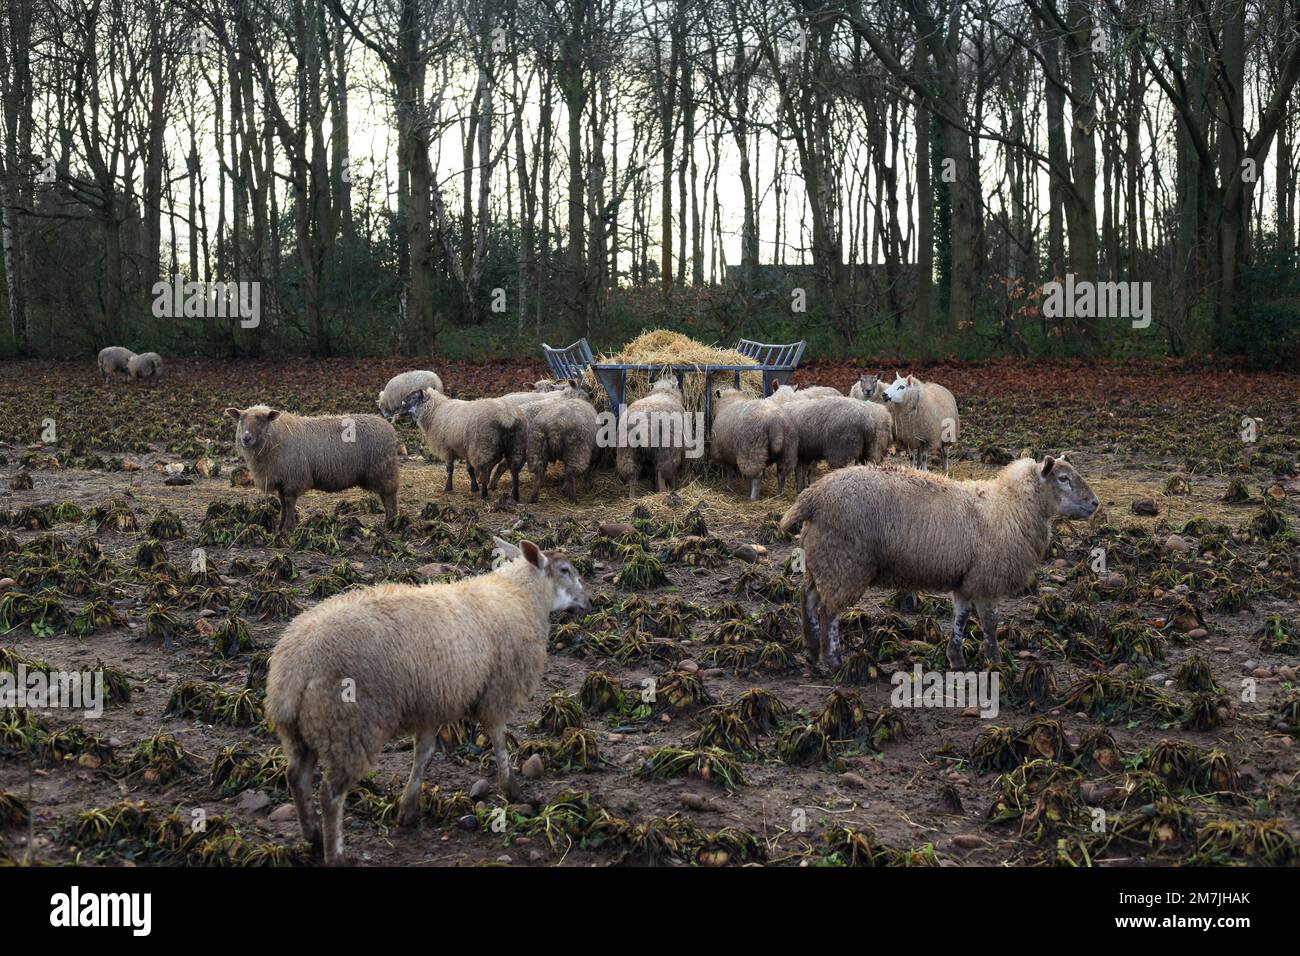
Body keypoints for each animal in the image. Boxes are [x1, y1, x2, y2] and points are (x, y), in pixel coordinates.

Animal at [224, 405, 400, 542]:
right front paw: (280, 528)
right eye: (241, 419)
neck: (275, 437)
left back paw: (388, 525)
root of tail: (389, 427)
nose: (246, 438)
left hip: (383, 470)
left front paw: (287, 530)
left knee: (389, 496)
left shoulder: (293, 479)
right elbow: (282, 504)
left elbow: (289, 503)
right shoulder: (282, 480)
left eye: (261, 420)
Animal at [265, 535, 590, 864]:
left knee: (296, 777)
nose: (588, 601)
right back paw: (335, 854)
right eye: (565, 570)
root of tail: (298, 662)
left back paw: (313, 836)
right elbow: (498, 739)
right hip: (347, 725)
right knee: (329, 794)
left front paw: (408, 808)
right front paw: (511, 788)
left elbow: (424, 753)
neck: (519, 596)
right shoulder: (497, 691)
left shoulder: (431, 703)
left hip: (302, 729)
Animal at [397, 387, 526, 500]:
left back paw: (484, 494)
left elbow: (449, 468)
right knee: (514, 469)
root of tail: (506, 417)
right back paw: (515, 495)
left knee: (485, 469)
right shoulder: (465, 447)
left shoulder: (447, 448)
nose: (398, 410)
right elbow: (469, 469)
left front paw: (448, 487)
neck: (435, 411)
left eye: (413, 397)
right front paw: (474, 487)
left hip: (483, 445)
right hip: (515, 445)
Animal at [780, 456, 1098, 670]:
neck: (1010, 507)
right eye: (1063, 479)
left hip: (822, 559)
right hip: (844, 564)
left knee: (807, 597)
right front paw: (996, 661)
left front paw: (956, 658)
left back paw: (811, 651)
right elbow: (990, 624)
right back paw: (833, 660)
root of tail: (812, 496)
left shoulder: (967, 580)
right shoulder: (985, 580)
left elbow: (961, 618)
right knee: (828, 611)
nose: (1095, 503)